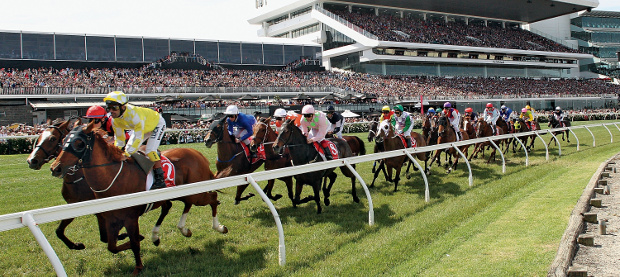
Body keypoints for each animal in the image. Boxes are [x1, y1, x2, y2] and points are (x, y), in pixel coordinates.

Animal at [49, 123, 228, 274]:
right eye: (63, 141)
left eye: (79, 143)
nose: (55, 167)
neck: (113, 176)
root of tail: (198, 154)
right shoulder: (110, 218)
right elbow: (111, 246)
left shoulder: (130, 217)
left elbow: (134, 242)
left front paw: (138, 266)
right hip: (184, 193)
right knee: (180, 205)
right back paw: (172, 232)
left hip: (196, 194)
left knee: (213, 198)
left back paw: (219, 227)